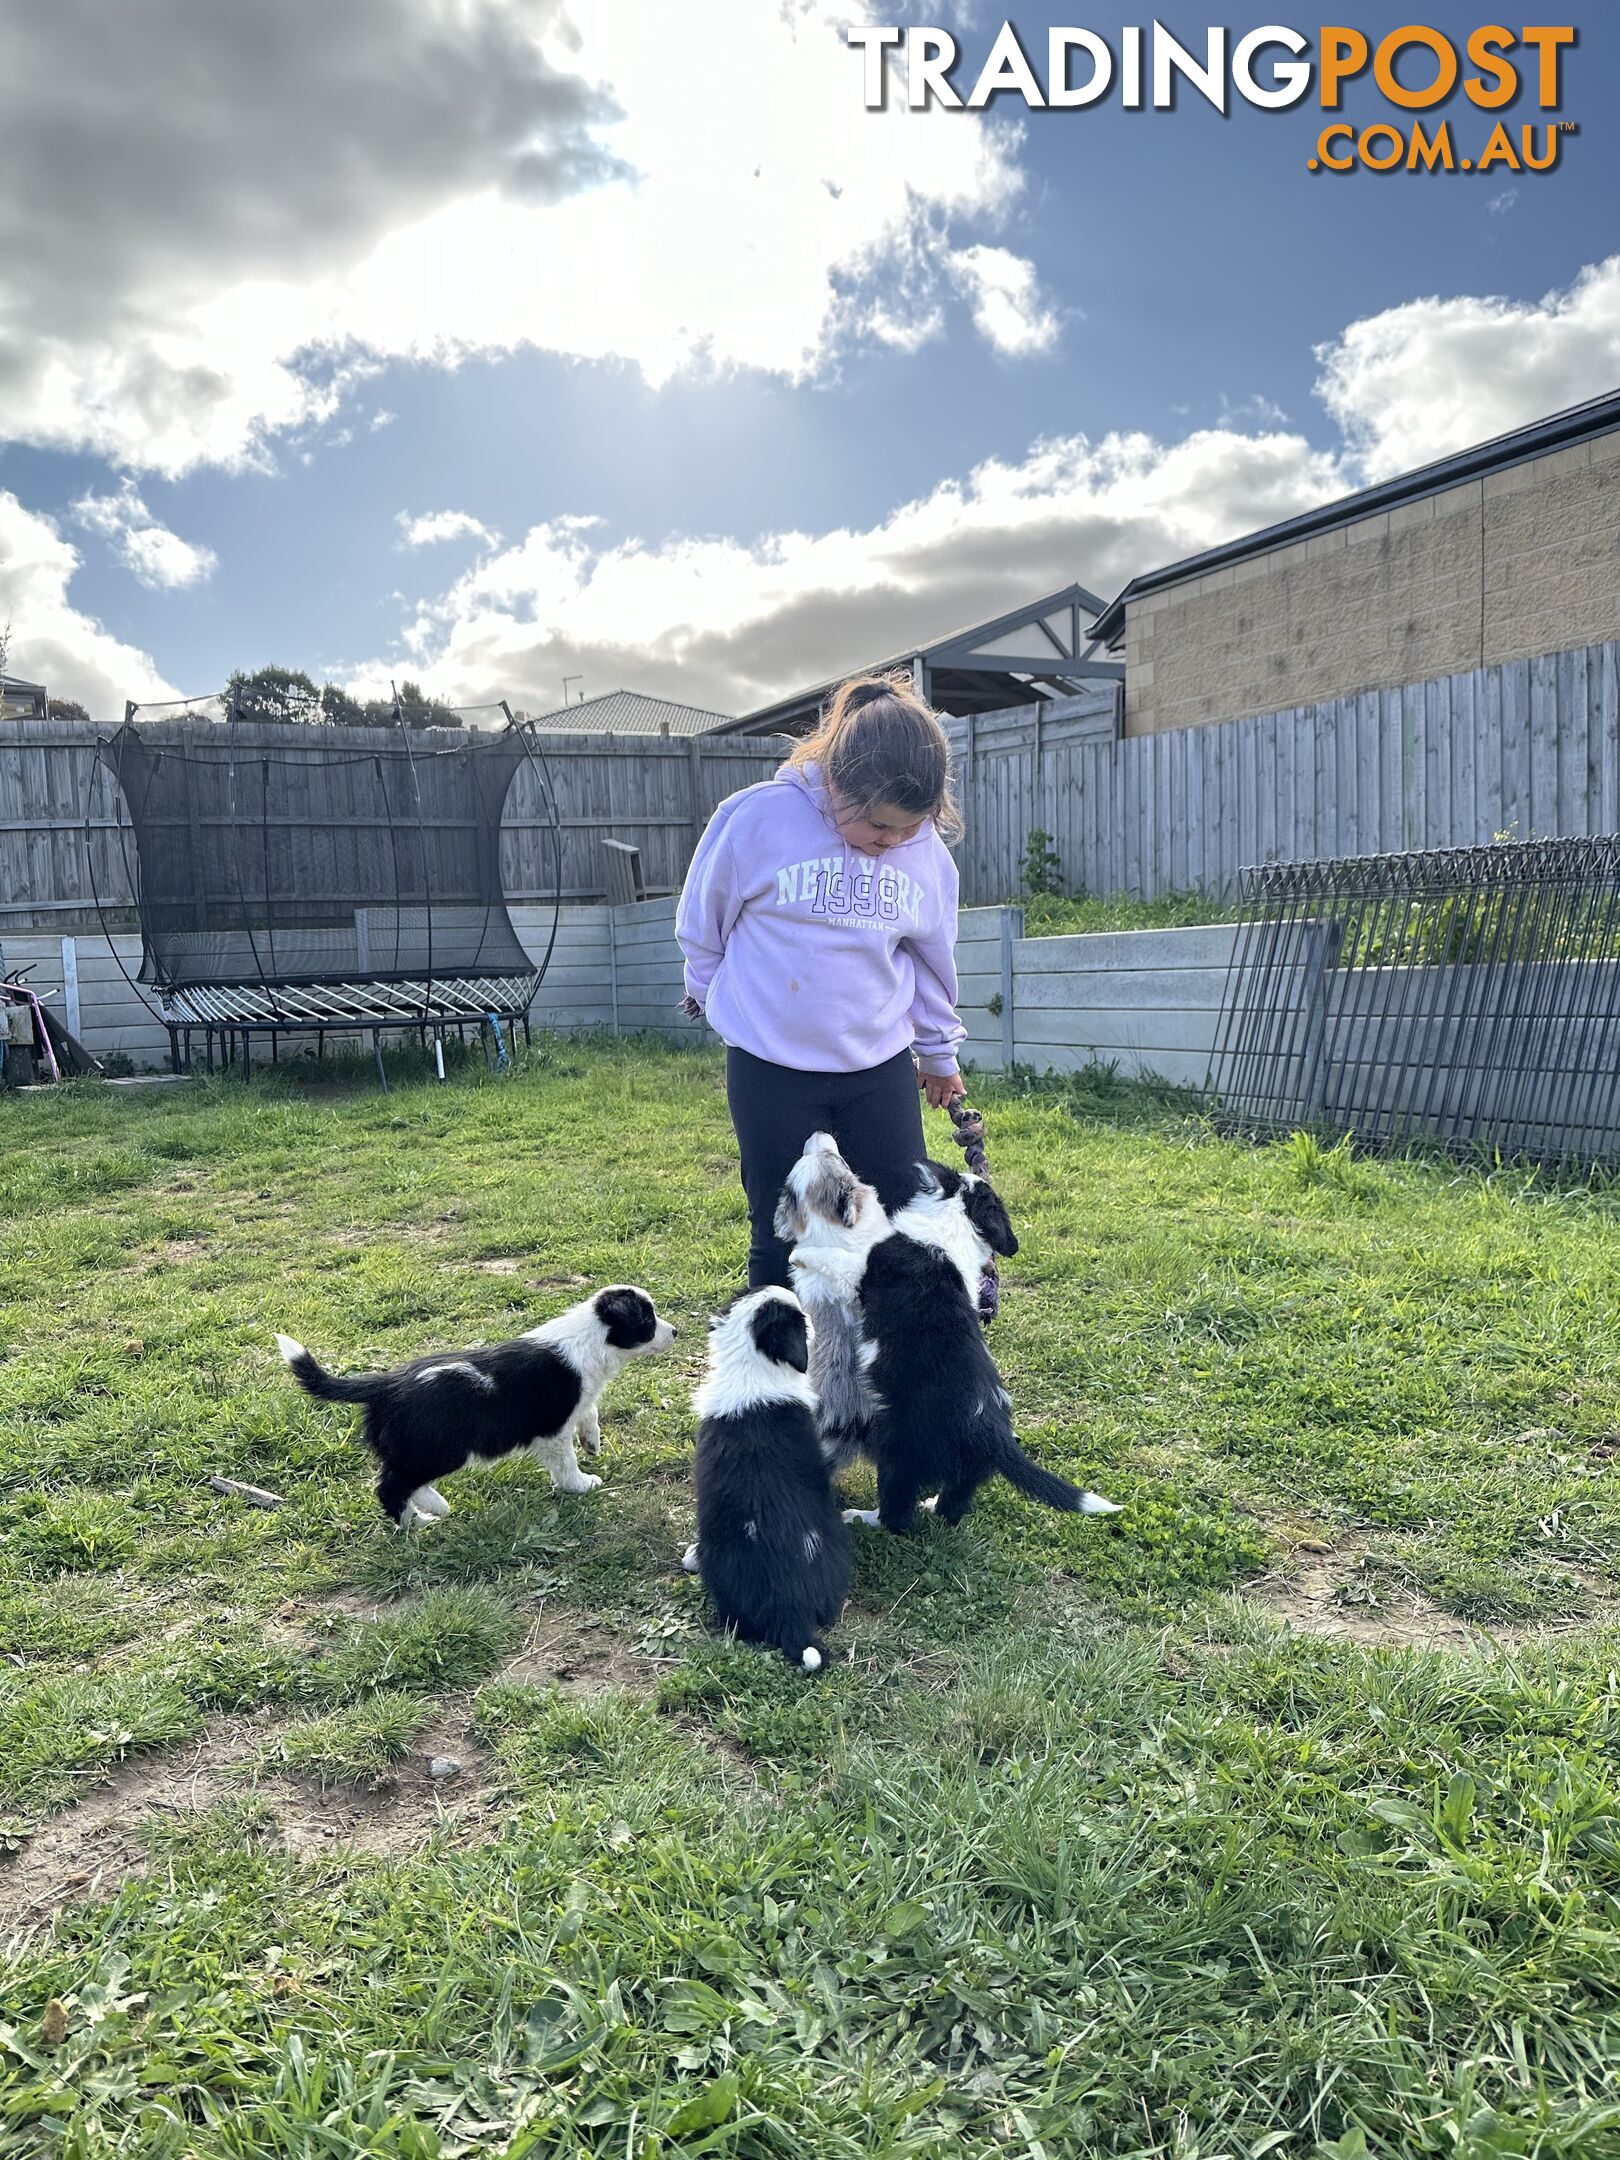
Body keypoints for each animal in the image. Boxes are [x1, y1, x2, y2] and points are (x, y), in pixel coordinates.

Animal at [282, 1287, 673, 1529]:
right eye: (647, 1321)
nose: (676, 1332)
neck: (591, 1338)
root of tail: (387, 1383)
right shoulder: (552, 1428)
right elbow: (565, 1462)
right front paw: (580, 1484)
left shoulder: (578, 1402)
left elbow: (589, 1412)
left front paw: (592, 1441)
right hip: (439, 1449)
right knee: (392, 1485)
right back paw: (419, 1522)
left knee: (400, 1480)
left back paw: (432, 1507)